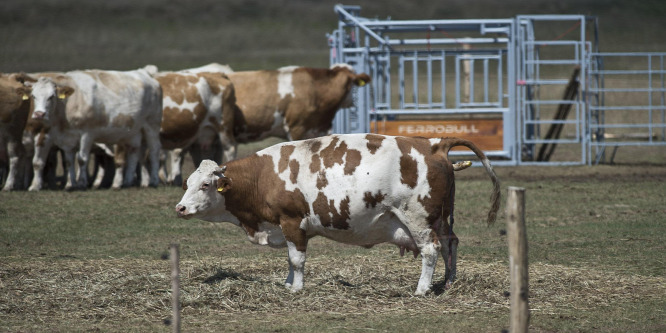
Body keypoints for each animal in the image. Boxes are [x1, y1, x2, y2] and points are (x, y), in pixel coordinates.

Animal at [26, 66, 162, 189]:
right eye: (33, 96)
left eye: (51, 96)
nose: (39, 114)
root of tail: (145, 74)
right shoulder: (67, 138)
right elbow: (68, 161)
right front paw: (70, 184)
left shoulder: (87, 134)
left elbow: (82, 159)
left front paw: (81, 183)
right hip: (133, 132)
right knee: (134, 152)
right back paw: (127, 182)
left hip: (151, 126)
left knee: (154, 152)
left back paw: (154, 181)